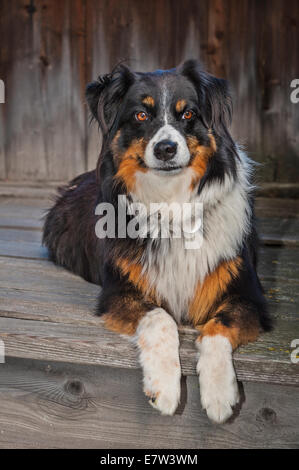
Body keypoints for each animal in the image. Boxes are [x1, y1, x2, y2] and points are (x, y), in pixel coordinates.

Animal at [44, 58, 272, 422]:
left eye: (188, 113)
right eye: (141, 115)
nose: (166, 148)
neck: (172, 202)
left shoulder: (249, 296)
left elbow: (217, 328)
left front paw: (220, 395)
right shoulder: (118, 291)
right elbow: (160, 318)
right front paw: (164, 388)